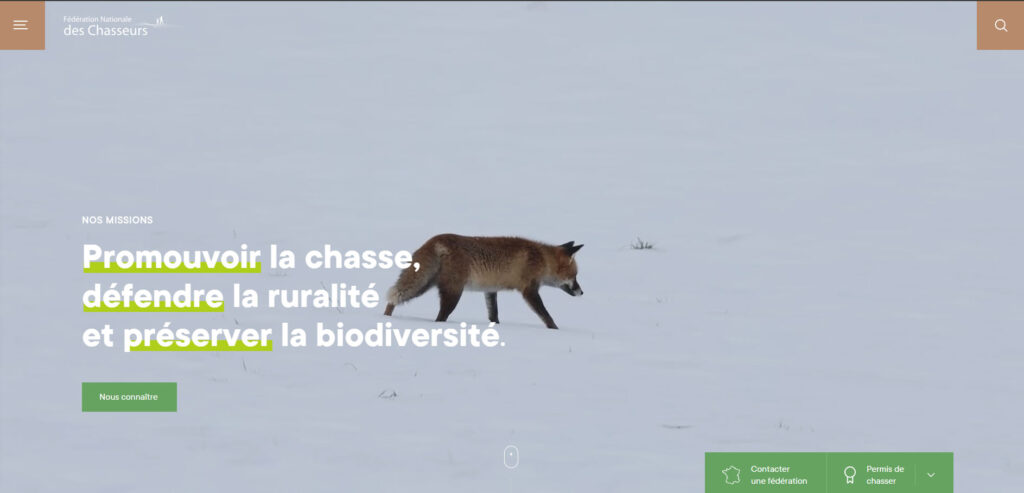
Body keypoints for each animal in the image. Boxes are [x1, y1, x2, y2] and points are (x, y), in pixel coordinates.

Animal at [383, 234, 584, 329]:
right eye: (575, 276)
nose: (582, 292)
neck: (542, 259)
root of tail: (435, 240)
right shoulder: (529, 290)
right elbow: (547, 316)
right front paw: (556, 330)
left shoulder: (491, 290)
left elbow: (493, 315)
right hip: (453, 293)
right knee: (439, 318)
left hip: (424, 285)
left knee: (394, 299)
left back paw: (386, 318)